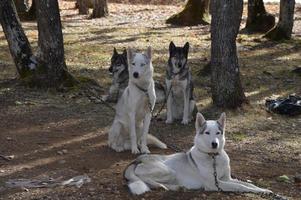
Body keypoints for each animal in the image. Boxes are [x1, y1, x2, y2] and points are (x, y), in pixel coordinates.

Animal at [123, 112, 272, 195]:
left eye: (218, 133)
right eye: (207, 133)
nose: (214, 144)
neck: (213, 157)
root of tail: (136, 160)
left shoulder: (227, 179)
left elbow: (249, 184)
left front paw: (264, 190)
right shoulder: (214, 184)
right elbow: (240, 186)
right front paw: (257, 192)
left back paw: (177, 187)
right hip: (168, 171)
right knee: (144, 179)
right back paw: (162, 186)